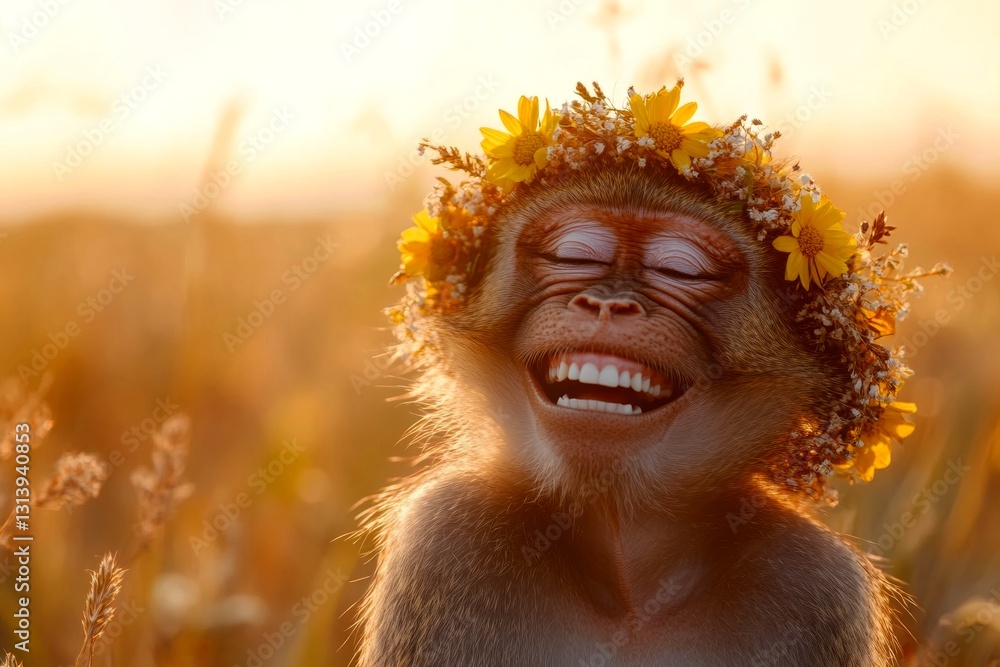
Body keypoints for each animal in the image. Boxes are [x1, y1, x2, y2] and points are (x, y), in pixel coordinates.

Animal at [357, 163, 901, 666]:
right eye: (574, 255)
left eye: (683, 270)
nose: (608, 303)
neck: (631, 582)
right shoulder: (445, 537)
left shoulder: (815, 586)